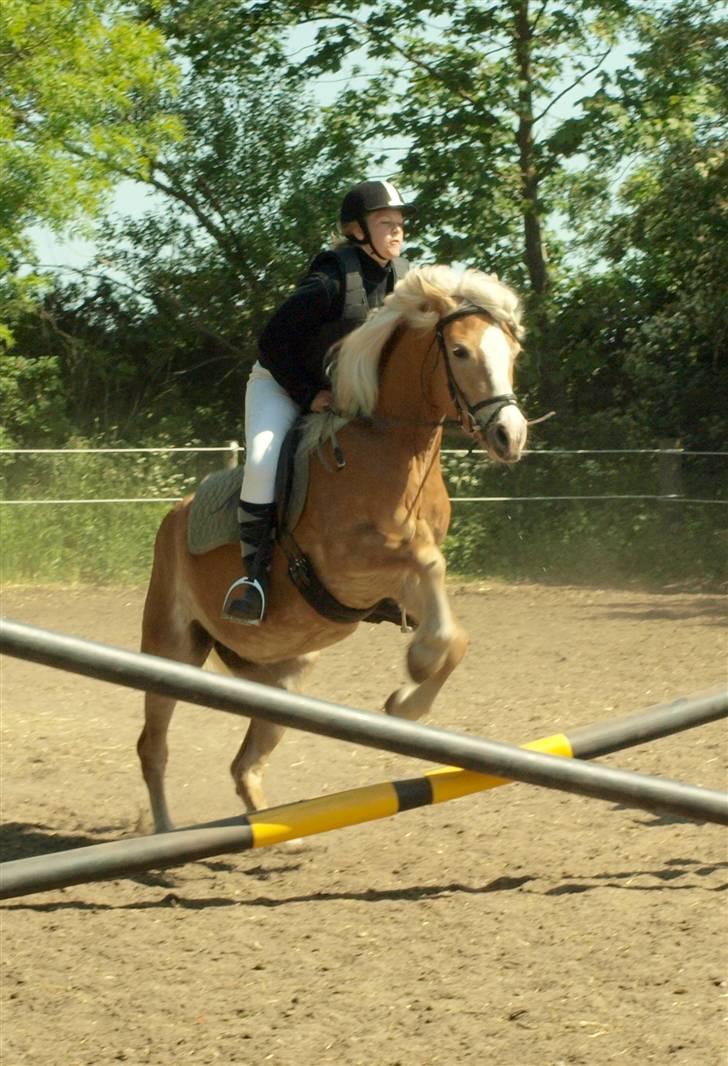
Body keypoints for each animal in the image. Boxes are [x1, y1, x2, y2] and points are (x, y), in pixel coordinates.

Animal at [136, 264, 526, 831]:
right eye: (459, 351)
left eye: (512, 353)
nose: (509, 436)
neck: (392, 448)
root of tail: (174, 515)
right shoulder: (348, 562)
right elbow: (430, 563)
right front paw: (417, 664)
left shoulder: (390, 586)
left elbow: (454, 633)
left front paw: (406, 700)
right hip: (171, 648)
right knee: (153, 746)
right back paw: (165, 831)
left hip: (286, 673)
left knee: (245, 760)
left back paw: (278, 831)